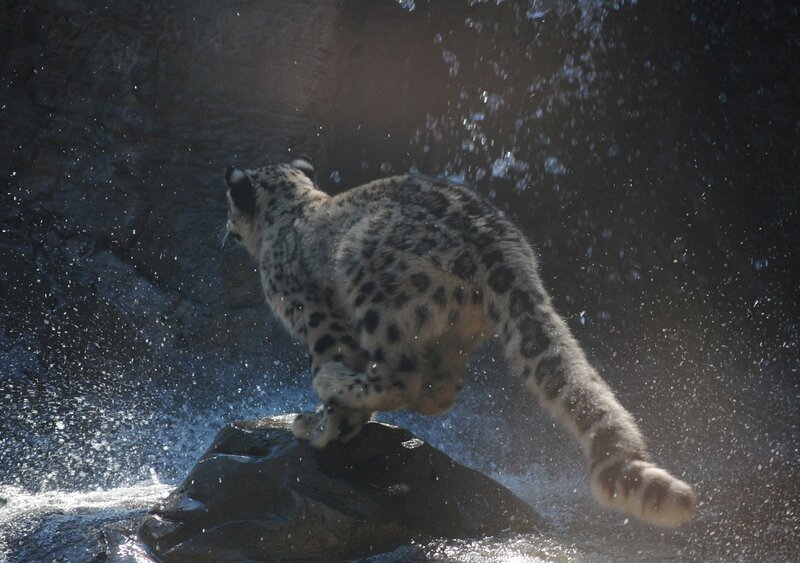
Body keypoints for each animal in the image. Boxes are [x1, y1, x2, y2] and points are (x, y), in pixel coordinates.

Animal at [223, 156, 697, 527]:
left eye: (229, 207)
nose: (224, 230)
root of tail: (506, 250)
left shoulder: (316, 316)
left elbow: (334, 374)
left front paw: (319, 427)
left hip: (373, 292)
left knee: (399, 377)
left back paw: (333, 384)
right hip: (456, 331)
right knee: (443, 389)